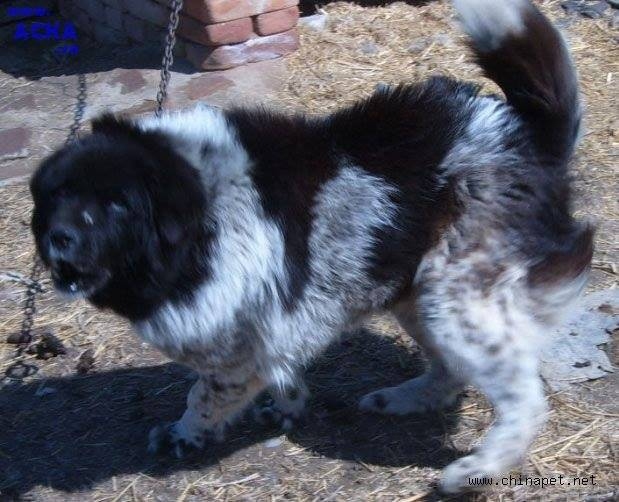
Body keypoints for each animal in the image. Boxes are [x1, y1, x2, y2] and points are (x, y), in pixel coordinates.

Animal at [31, 0, 592, 492]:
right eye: (55, 196)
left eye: (117, 205)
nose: (59, 237)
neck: (200, 214)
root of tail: (527, 131)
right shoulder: (267, 324)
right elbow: (276, 372)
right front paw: (288, 404)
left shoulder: (237, 343)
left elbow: (204, 393)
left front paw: (185, 435)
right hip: (417, 292)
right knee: (452, 371)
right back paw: (401, 399)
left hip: (455, 301)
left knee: (524, 396)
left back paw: (477, 470)